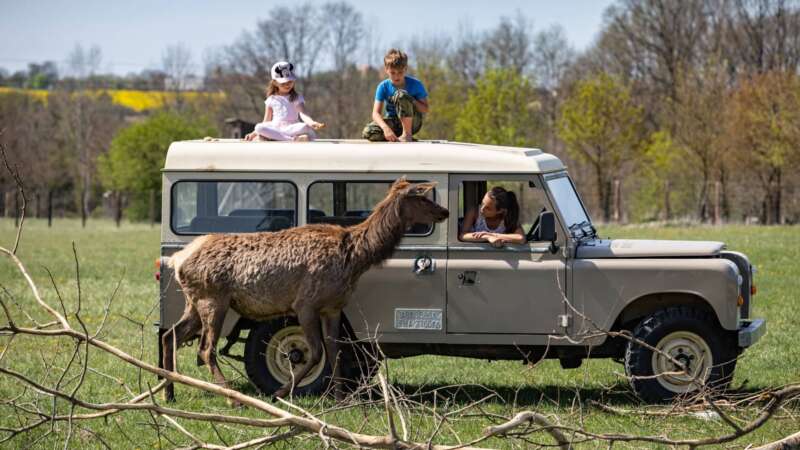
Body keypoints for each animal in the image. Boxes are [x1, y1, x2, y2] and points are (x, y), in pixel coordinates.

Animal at [162, 177, 450, 400]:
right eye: (422, 198)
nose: (445, 212)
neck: (354, 258)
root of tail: (178, 259)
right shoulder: (305, 303)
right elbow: (315, 351)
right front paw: (281, 393)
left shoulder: (333, 306)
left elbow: (334, 350)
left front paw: (340, 398)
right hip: (213, 299)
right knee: (205, 349)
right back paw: (232, 398)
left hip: (194, 302)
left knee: (170, 336)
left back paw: (169, 392)